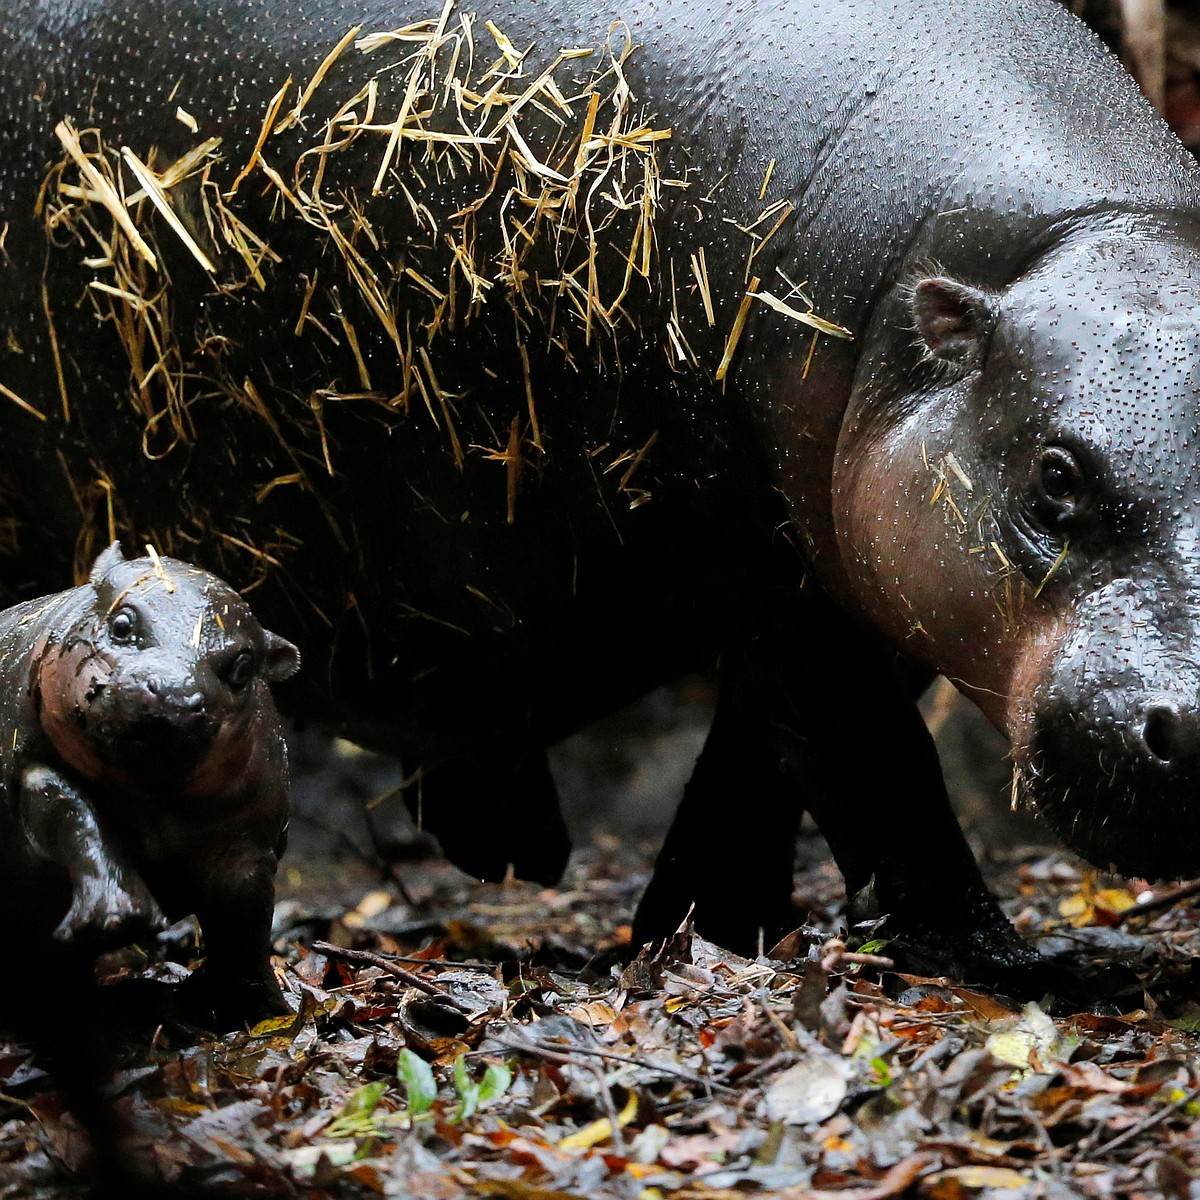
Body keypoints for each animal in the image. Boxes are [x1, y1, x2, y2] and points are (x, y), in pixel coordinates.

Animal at [0, 544, 300, 1022]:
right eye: (123, 624)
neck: (155, 806)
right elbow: (75, 818)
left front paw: (259, 1009)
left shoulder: (249, 835)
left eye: (242, 666)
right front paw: (113, 920)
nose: (175, 693)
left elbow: (246, 916)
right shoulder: (32, 769)